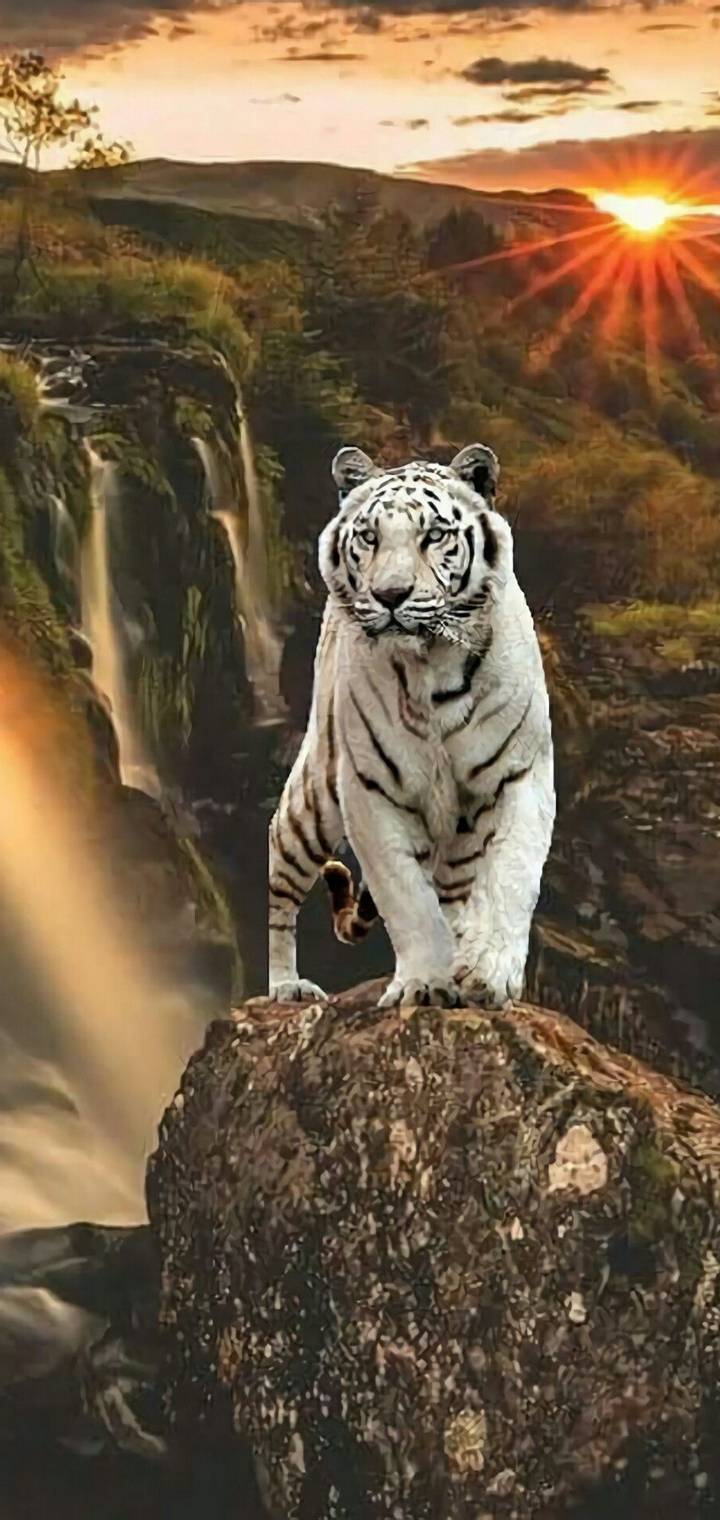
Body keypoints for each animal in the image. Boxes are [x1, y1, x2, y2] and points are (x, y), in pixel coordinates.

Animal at [268, 442, 555, 1010]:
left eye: (434, 535)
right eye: (369, 537)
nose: (391, 594)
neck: (432, 667)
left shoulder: (522, 773)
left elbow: (512, 873)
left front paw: (488, 972)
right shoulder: (370, 791)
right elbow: (405, 898)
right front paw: (424, 981)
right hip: (311, 800)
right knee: (280, 885)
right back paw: (286, 985)